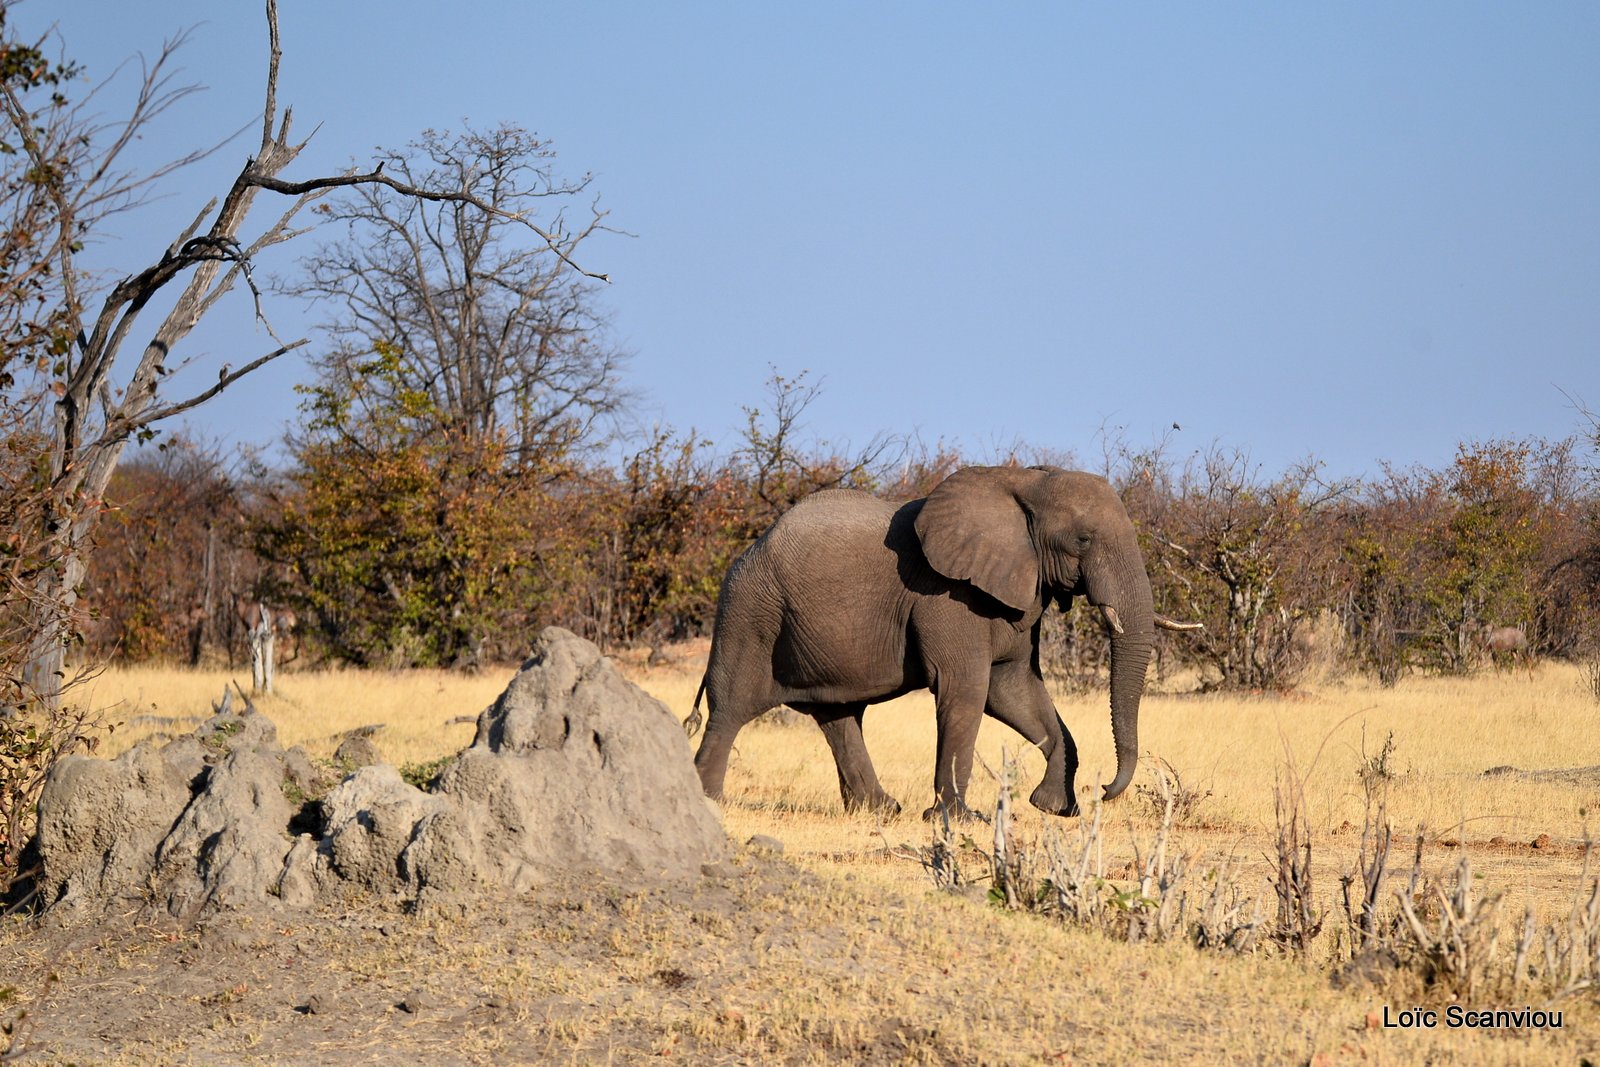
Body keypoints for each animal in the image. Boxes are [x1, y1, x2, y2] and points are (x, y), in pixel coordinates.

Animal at [688, 463, 1203, 825]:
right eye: (1083, 539)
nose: (1106, 791)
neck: (1024, 481)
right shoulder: (948, 596)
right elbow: (967, 691)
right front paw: (959, 820)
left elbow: (1015, 691)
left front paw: (1052, 807)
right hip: (749, 611)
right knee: (731, 708)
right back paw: (705, 798)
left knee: (838, 716)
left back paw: (881, 810)